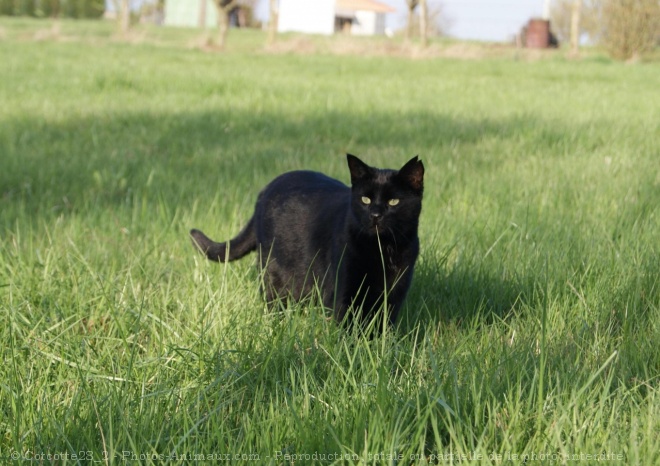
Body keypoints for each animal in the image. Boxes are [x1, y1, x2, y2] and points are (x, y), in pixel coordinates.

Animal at [191, 155, 426, 326]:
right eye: (365, 199)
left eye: (394, 201)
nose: (375, 214)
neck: (385, 249)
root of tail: (265, 189)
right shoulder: (343, 293)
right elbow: (346, 328)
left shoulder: (394, 296)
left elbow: (383, 328)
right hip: (272, 277)